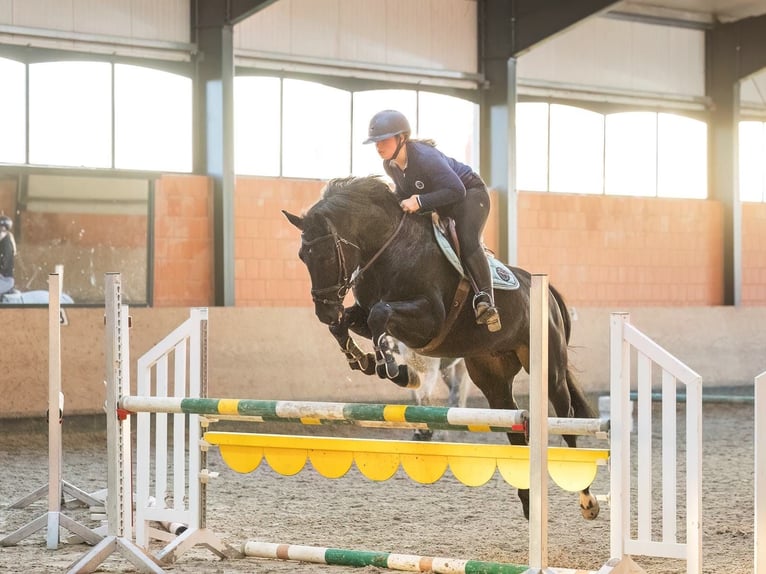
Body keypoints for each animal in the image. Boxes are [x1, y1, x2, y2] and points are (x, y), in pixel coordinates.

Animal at [282, 176, 600, 520]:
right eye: (302, 256)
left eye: (327, 255)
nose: (324, 311)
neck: (388, 249)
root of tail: (545, 289)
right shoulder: (367, 314)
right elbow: (353, 323)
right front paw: (363, 359)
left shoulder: (429, 319)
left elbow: (382, 314)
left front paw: (393, 369)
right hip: (493, 377)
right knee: (516, 429)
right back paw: (529, 503)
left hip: (549, 369)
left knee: (567, 420)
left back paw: (587, 500)